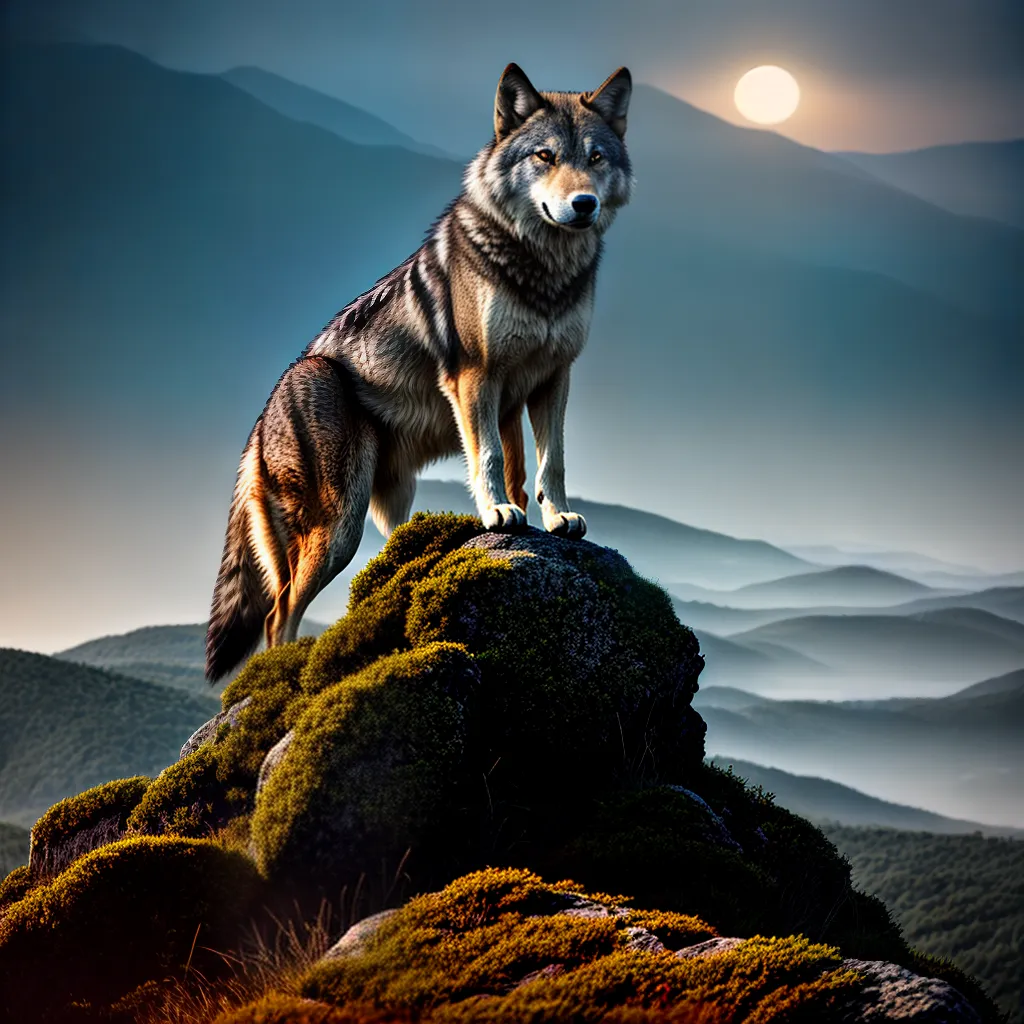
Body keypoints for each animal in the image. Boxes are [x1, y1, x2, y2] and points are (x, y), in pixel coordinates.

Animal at [205, 63, 634, 681]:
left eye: (596, 157)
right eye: (545, 156)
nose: (583, 204)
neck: (544, 273)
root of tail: (259, 424)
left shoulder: (550, 379)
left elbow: (547, 464)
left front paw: (554, 520)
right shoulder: (477, 376)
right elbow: (490, 458)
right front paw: (498, 513)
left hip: (391, 505)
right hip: (340, 525)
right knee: (278, 610)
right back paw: (282, 673)